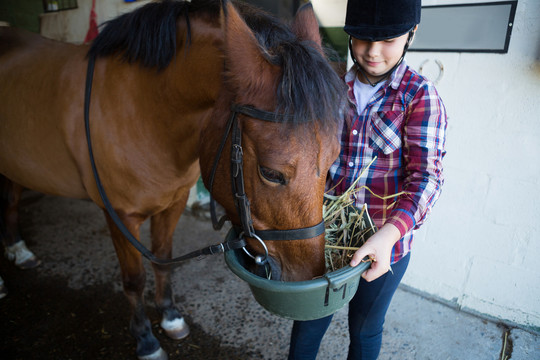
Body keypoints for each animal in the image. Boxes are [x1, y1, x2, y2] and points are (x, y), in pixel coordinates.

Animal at [0, 1, 346, 358]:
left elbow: (163, 262)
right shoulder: (120, 216)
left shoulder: (174, 202)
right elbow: (134, 278)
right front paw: (145, 339)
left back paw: (19, 250)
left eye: (333, 160)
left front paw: (170, 317)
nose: (306, 278)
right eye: (271, 173)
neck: (143, 110)